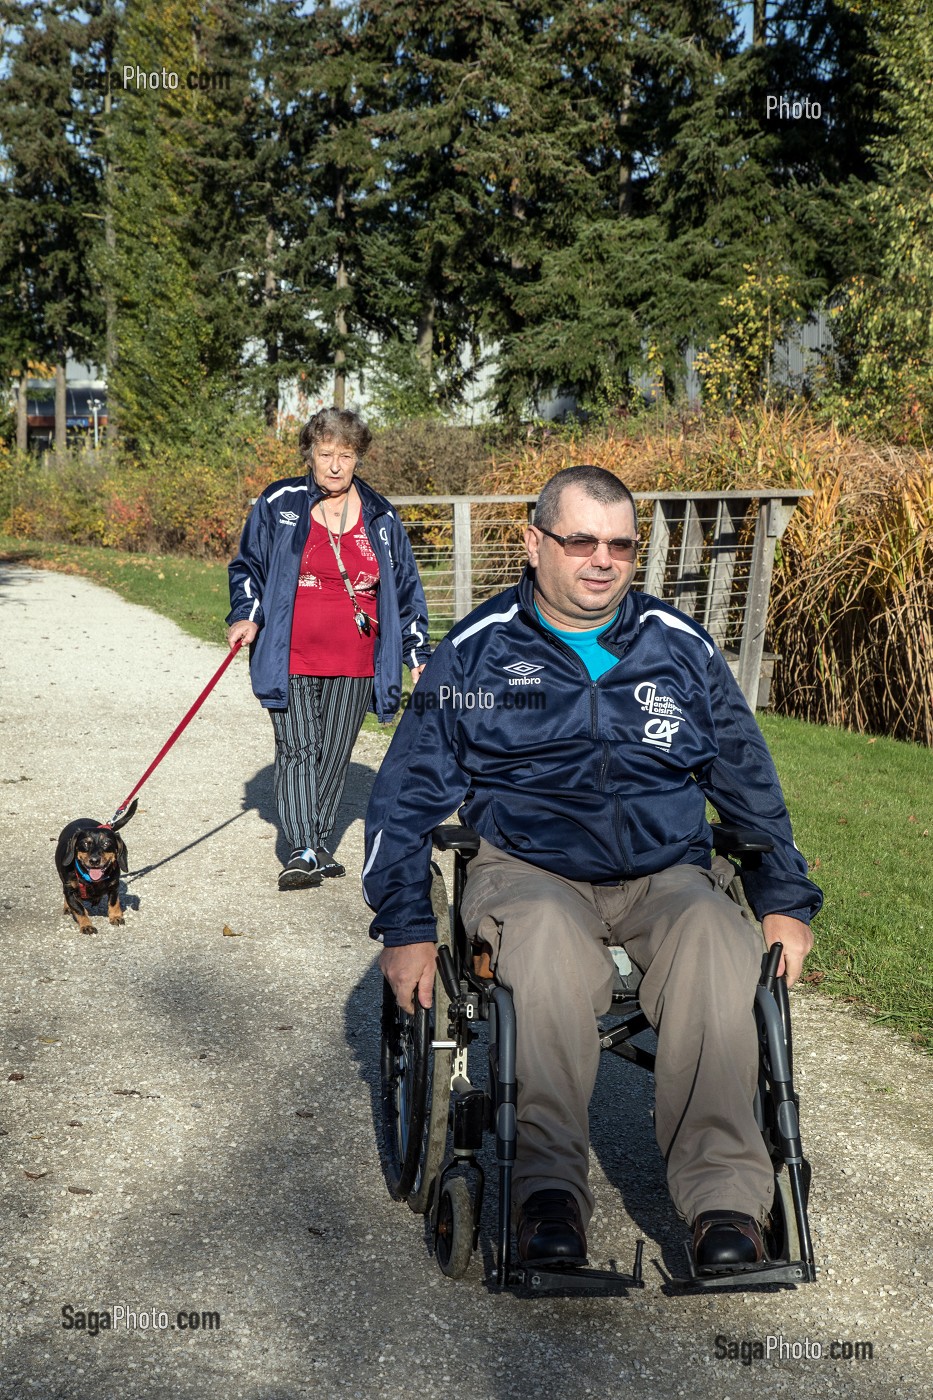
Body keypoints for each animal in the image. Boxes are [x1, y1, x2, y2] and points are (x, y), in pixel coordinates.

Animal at [54, 806, 133, 935]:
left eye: (106, 843)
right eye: (86, 843)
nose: (94, 860)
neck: (90, 880)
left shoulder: (114, 886)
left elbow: (114, 902)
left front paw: (116, 916)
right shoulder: (70, 890)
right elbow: (79, 909)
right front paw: (87, 925)